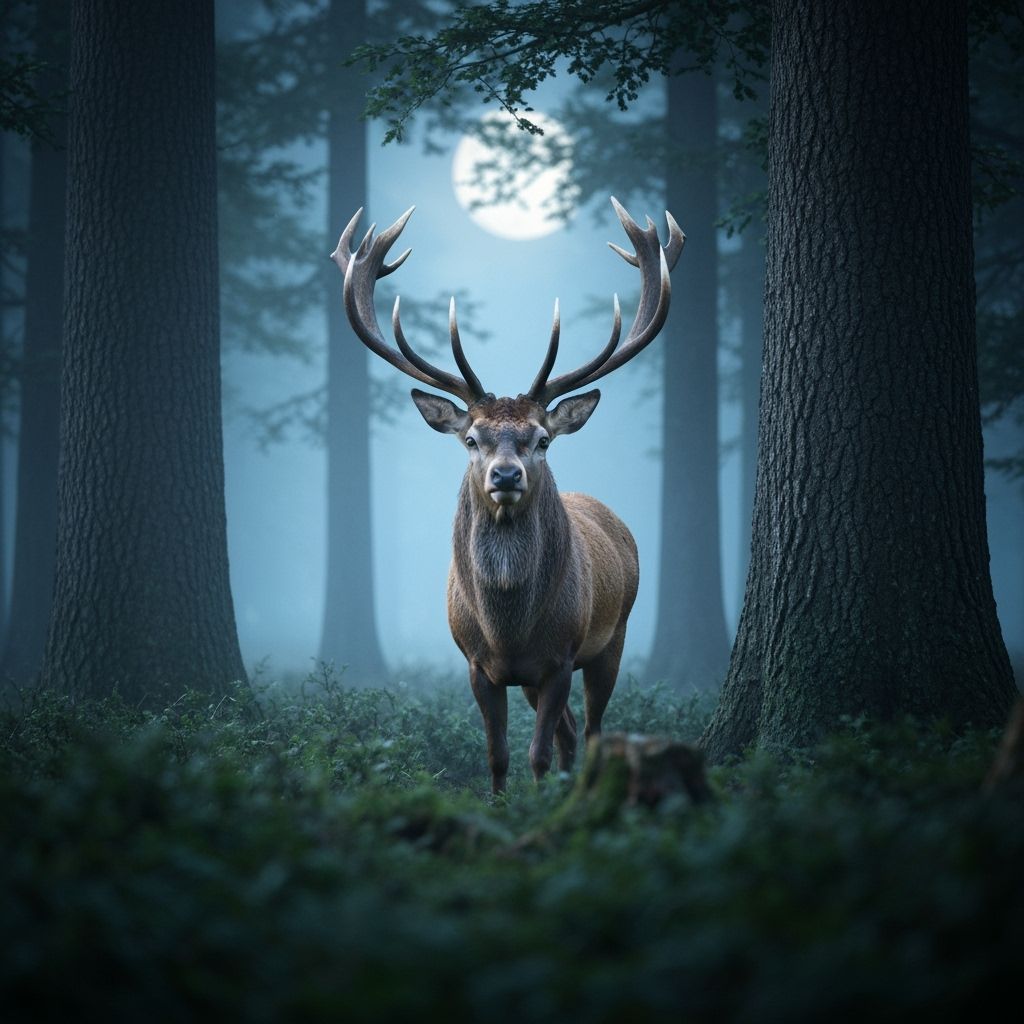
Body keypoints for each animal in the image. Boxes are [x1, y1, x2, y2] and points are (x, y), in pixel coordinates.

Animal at [331, 197, 684, 794]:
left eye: (541, 439)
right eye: (471, 438)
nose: (505, 476)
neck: (509, 631)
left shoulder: (561, 656)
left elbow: (537, 752)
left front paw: (536, 802)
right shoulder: (478, 665)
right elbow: (497, 754)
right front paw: (502, 802)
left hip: (613, 638)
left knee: (591, 730)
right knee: (570, 732)